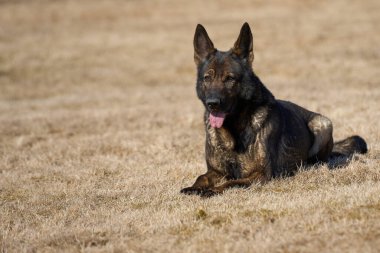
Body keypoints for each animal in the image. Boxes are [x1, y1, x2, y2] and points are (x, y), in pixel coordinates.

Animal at [181, 22, 368, 197]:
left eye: (230, 79)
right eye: (207, 78)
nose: (212, 103)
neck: (233, 130)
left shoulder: (260, 174)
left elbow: (231, 183)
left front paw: (211, 191)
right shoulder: (216, 171)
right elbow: (201, 177)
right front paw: (193, 188)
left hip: (322, 122)